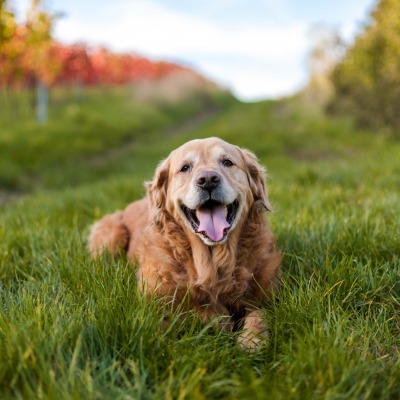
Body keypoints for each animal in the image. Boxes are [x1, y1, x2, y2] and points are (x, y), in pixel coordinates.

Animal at [88, 138, 282, 350]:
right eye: (185, 168)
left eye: (227, 162)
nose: (208, 180)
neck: (210, 266)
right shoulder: (154, 303)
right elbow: (174, 321)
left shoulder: (268, 295)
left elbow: (259, 313)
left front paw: (252, 339)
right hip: (112, 235)